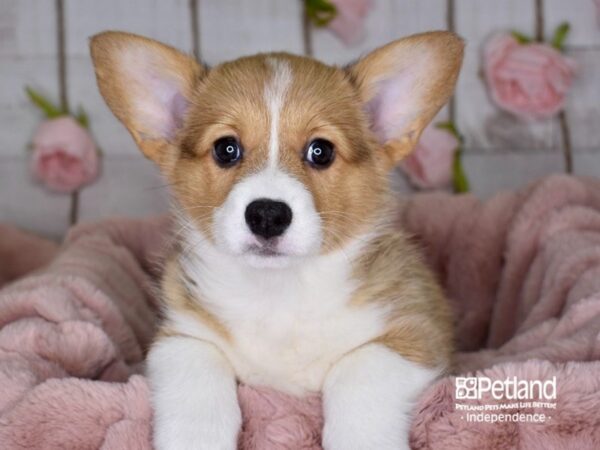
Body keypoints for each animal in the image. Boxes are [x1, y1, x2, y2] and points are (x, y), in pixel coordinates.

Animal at [90, 29, 464, 448]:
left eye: (321, 151)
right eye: (226, 148)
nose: (267, 215)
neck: (278, 294)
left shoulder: (417, 336)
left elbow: (358, 372)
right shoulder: (180, 337)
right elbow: (197, 385)